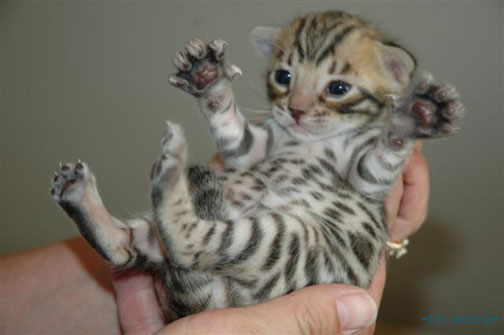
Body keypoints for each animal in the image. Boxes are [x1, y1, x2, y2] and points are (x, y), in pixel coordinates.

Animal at [49, 11, 462, 322]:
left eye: (338, 88)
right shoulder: (252, 150)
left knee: (187, 244)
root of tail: (221, 301)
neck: (308, 140)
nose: (295, 110)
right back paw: (79, 193)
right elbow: (231, 130)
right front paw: (208, 79)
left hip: (278, 241)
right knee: (125, 247)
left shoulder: (366, 177)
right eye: (284, 76)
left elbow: (383, 155)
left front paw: (416, 117)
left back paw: (170, 168)